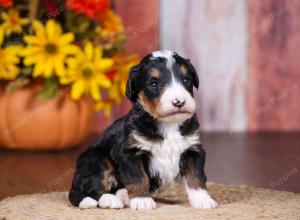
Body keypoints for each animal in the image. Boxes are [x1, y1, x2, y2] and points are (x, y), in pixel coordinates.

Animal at [68, 49, 218, 210]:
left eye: (186, 80)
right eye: (154, 83)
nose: (179, 102)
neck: (168, 125)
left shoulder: (192, 149)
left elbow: (196, 176)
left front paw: (203, 199)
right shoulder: (129, 152)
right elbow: (138, 176)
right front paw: (141, 200)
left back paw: (122, 195)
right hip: (96, 159)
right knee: (91, 190)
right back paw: (110, 199)